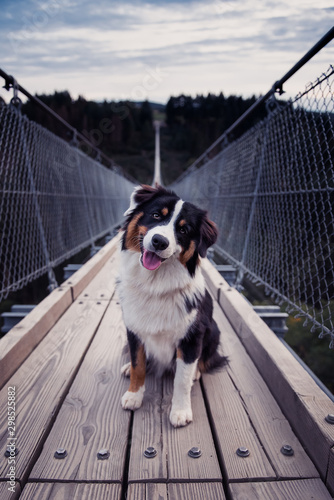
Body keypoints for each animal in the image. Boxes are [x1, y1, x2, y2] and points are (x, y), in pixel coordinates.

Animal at [118, 186, 227, 428]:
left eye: (184, 229)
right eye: (156, 215)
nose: (159, 241)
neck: (155, 286)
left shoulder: (191, 337)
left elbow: (181, 380)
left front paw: (180, 411)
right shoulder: (134, 328)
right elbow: (138, 363)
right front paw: (134, 395)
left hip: (213, 329)